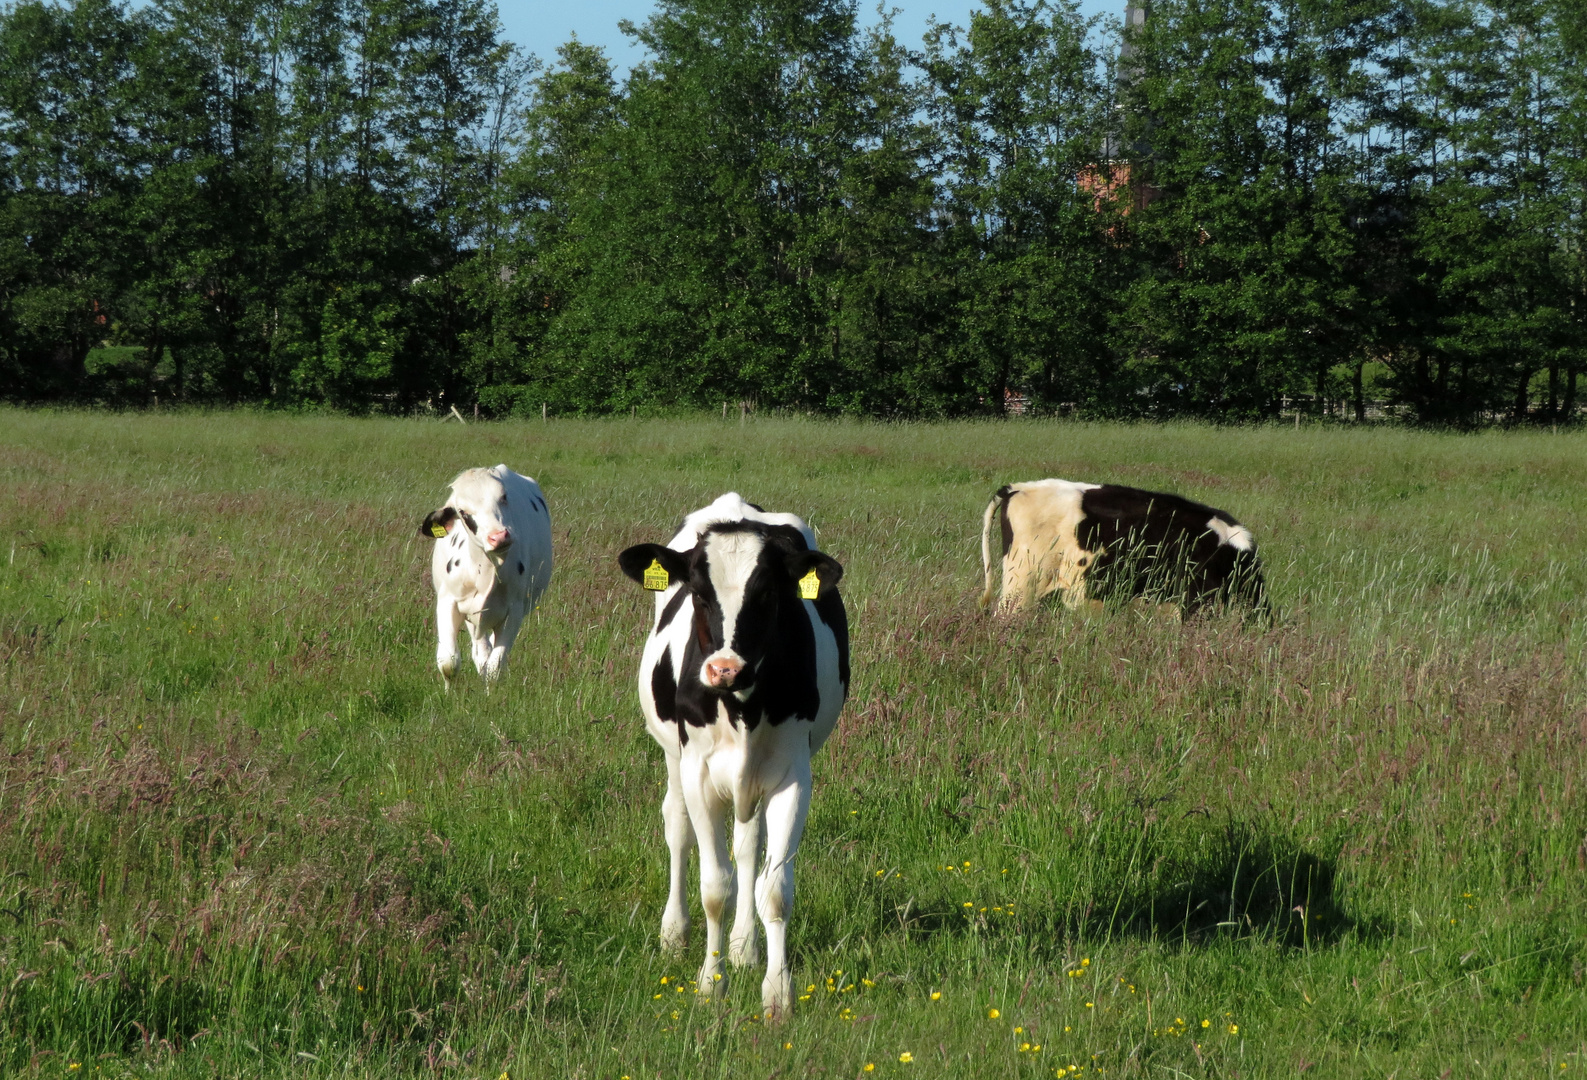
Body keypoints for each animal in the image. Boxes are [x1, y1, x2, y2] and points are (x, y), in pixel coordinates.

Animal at [418, 463, 555, 681]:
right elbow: (448, 662)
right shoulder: (448, 601)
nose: (499, 536)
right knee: (480, 652)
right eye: (463, 511)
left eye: (503, 497)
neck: (487, 568)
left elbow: (495, 667)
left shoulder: (515, 610)